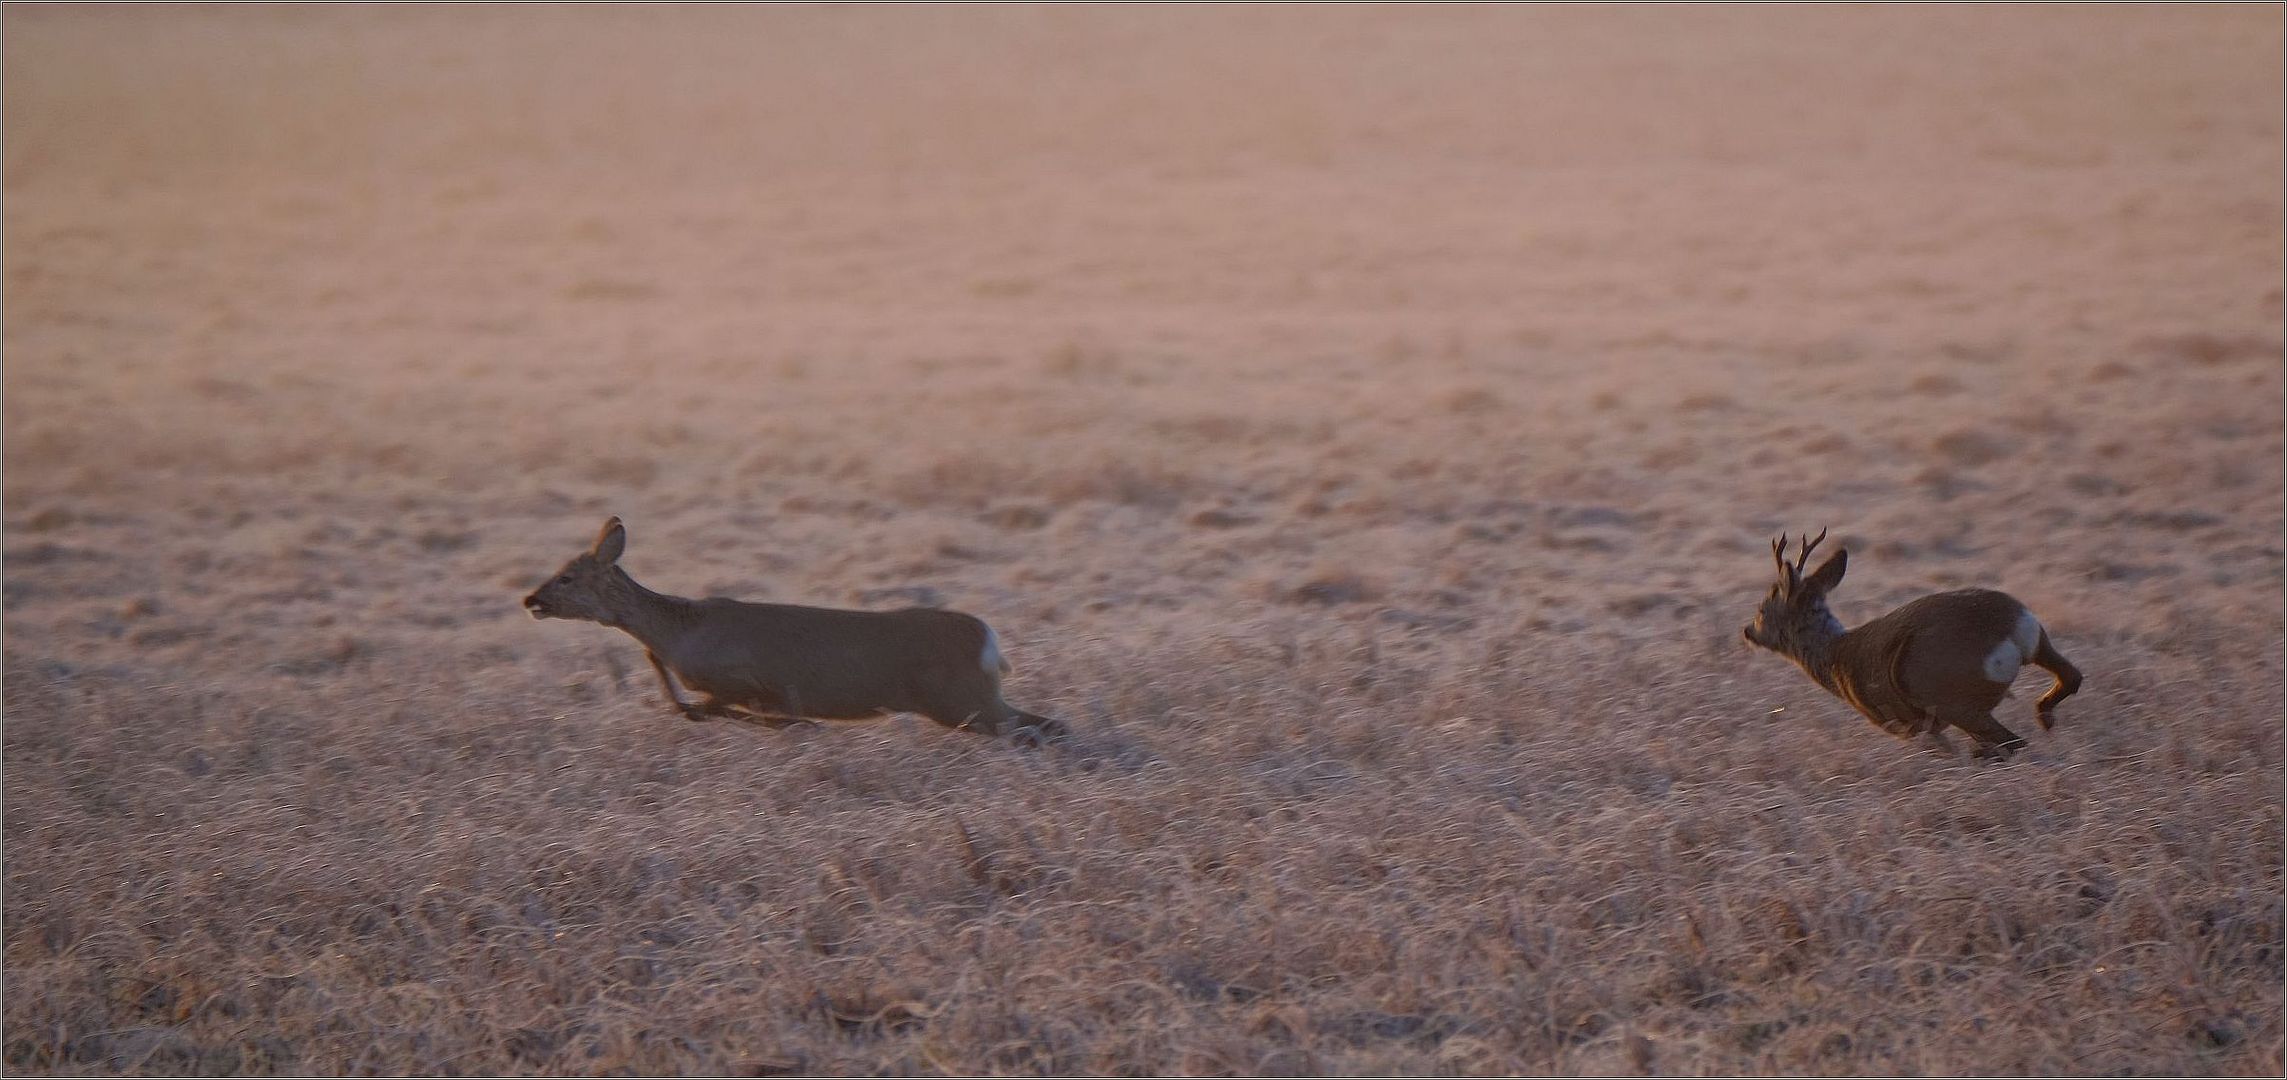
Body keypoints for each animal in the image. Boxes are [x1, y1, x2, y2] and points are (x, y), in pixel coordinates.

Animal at [521, 517, 1061, 741]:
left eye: (567, 576)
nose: (531, 600)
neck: (677, 633)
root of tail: (987, 637)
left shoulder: (744, 681)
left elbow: (699, 710)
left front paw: (798, 725)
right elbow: (688, 708)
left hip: (960, 701)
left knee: (1036, 727)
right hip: (971, 701)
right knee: (1048, 723)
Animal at [1738, 526, 2085, 755]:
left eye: (1762, 610)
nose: (1747, 631)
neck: (1834, 659)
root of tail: (2009, 627)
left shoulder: (1905, 724)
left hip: (1952, 699)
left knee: (2013, 742)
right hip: (2037, 642)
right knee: (2072, 676)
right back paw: (2045, 718)